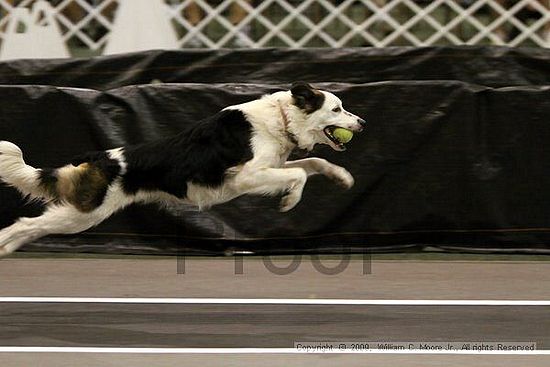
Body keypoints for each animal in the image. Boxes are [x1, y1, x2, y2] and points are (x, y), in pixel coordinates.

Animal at [0, 82, 366, 258]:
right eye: (338, 109)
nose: (362, 123)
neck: (282, 118)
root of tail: (101, 158)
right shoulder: (246, 176)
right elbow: (300, 174)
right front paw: (290, 200)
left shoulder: (273, 165)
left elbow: (314, 163)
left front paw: (343, 177)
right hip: (85, 214)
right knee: (25, 224)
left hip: (78, 215)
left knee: (33, 227)